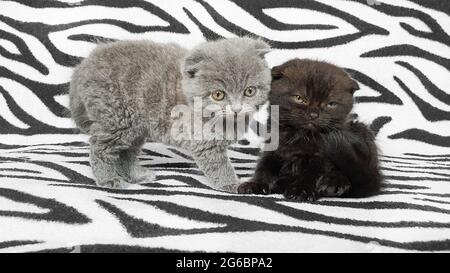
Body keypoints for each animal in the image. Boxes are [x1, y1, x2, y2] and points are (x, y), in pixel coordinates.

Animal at [68, 37, 268, 191]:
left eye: (249, 91)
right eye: (218, 95)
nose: (237, 109)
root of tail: (85, 64)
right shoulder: (204, 142)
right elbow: (220, 166)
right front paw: (232, 184)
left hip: (135, 128)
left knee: (126, 153)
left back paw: (137, 175)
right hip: (116, 120)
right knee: (99, 148)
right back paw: (107, 179)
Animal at [237, 58, 382, 201]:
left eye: (331, 104)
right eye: (299, 98)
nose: (313, 114)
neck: (300, 136)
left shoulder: (322, 158)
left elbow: (312, 174)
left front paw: (301, 190)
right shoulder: (273, 148)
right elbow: (264, 168)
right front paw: (255, 184)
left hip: (361, 131)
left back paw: (333, 184)